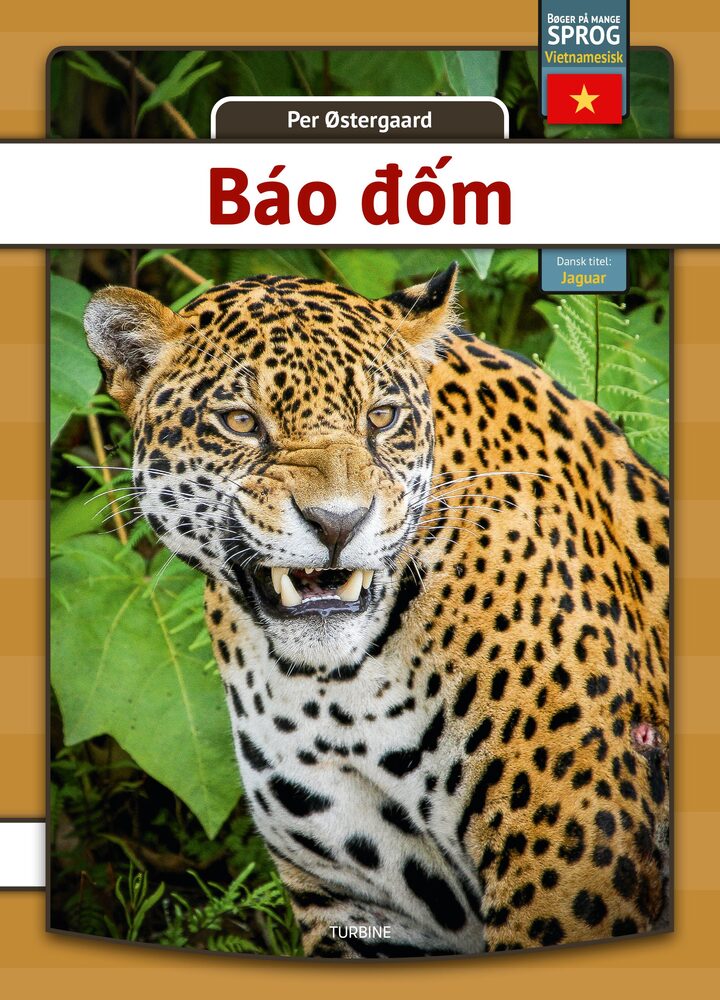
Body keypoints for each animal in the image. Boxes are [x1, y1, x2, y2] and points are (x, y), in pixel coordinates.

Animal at [84, 263, 670, 959]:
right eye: (241, 422)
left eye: (383, 417)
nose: (338, 522)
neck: (339, 692)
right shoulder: (357, 900)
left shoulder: (573, 857)